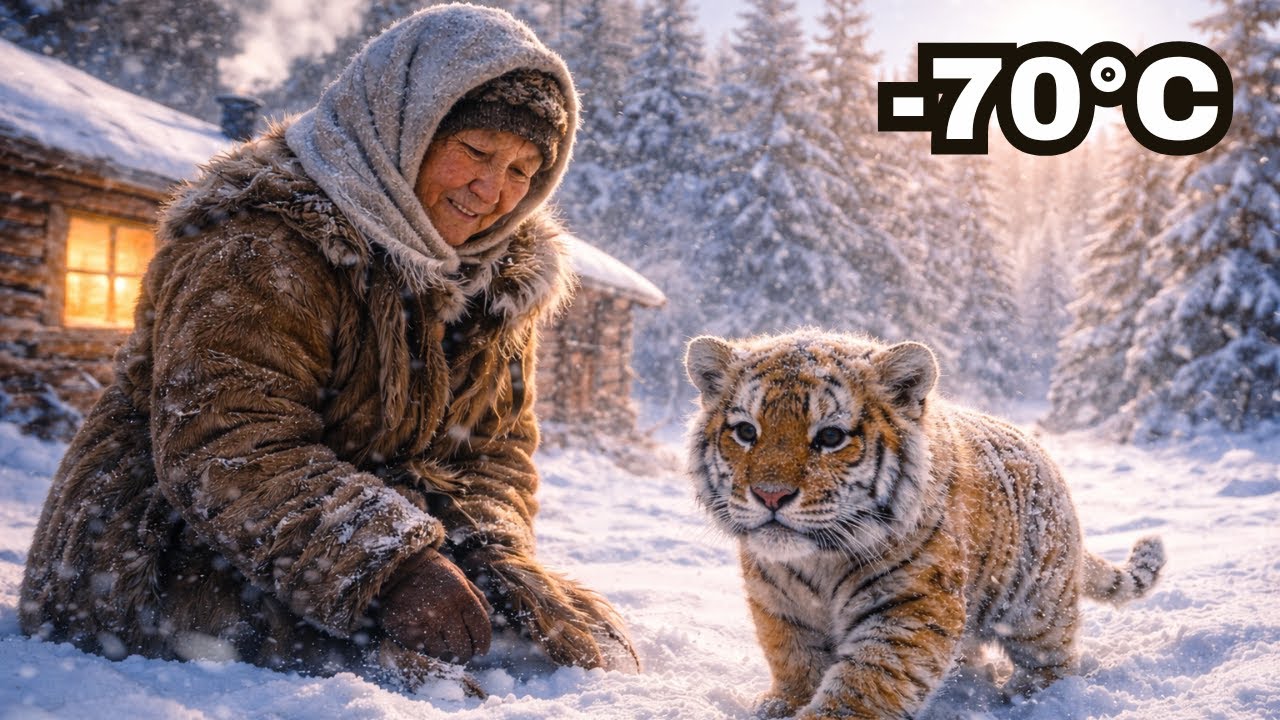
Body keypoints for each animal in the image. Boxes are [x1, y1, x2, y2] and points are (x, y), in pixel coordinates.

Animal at [683, 329, 1165, 719]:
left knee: (1053, 659)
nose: (770, 495)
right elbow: (793, 658)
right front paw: (783, 704)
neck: (817, 561)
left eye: (831, 437)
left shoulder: (909, 606)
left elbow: (867, 683)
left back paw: (1029, 699)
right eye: (746, 432)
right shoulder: (777, 603)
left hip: (1036, 606)